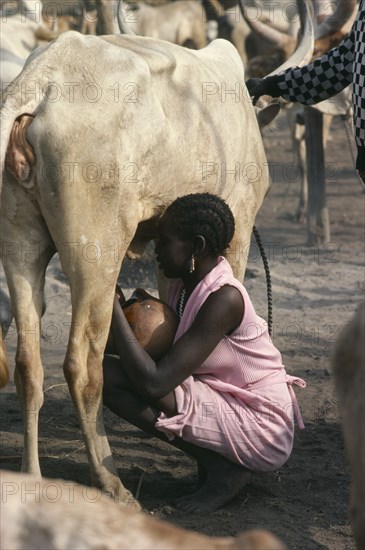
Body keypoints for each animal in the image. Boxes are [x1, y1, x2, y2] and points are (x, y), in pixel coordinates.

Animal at [0, 1, 312, 508]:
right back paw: (113, 485)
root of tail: (40, 83)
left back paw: (32, 479)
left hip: (20, 244)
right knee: (82, 365)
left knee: (29, 362)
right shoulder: (239, 227)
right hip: (95, 249)